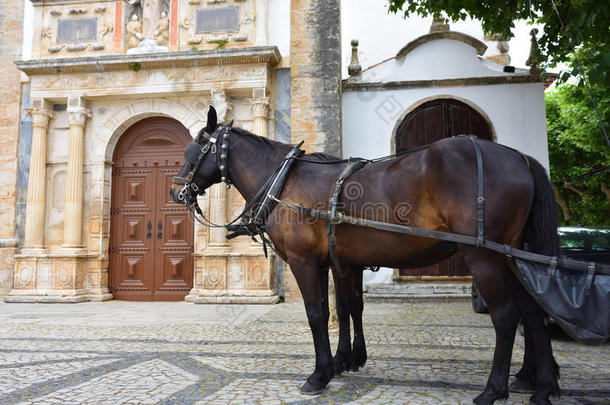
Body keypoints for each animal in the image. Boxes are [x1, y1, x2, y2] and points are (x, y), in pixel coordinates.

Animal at [169, 105, 560, 402]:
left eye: (193, 152)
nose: (176, 192)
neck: (284, 179)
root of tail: (519, 158)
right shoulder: (341, 262)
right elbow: (347, 307)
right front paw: (347, 359)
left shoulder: (304, 262)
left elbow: (317, 314)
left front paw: (320, 373)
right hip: (513, 256)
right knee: (532, 312)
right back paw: (538, 381)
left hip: (485, 258)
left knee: (507, 316)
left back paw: (494, 388)